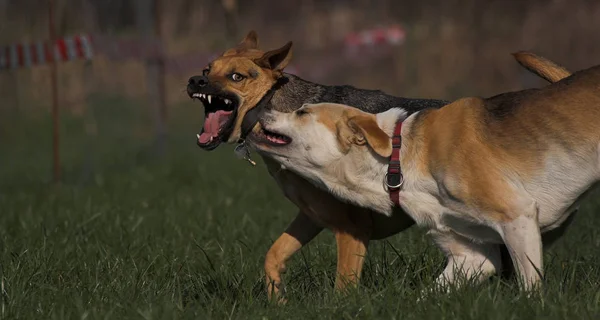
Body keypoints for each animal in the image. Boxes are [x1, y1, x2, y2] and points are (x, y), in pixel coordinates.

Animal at [188, 31, 572, 298]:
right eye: (206, 69)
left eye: (237, 77)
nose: (195, 80)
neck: (274, 108)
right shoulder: (312, 216)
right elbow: (274, 255)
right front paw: (276, 301)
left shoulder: (352, 228)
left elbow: (343, 288)